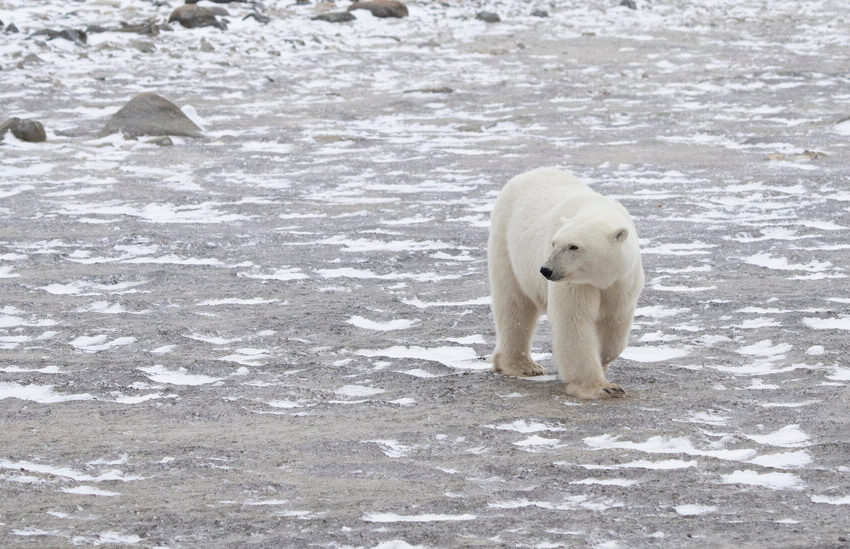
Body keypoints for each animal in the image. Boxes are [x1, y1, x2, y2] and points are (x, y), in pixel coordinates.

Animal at [484, 167, 644, 398]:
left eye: (574, 246)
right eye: (554, 243)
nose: (546, 270)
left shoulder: (622, 280)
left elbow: (615, 321)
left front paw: (603, 360)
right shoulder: (576, 283)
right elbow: (574, 320)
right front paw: (602, 387)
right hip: (506, 243)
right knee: (514, 305)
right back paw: (523, 366)